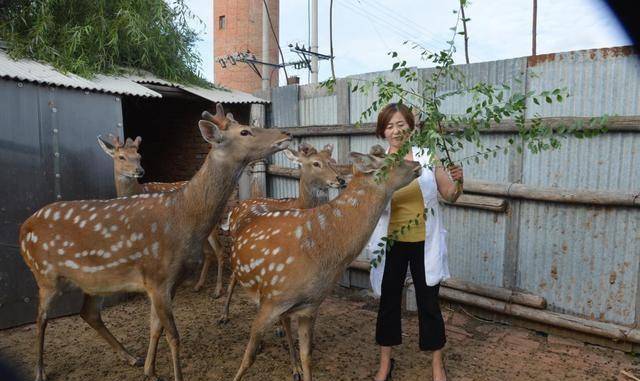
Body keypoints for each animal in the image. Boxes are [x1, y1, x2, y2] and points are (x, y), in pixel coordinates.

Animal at [18, 104, 292, 380]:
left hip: (95, 281)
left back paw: (130, 357)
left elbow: (155, 327)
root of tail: (23, 229)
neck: (183, 218)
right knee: (42, 318)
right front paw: (172, 374)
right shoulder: (157, 276)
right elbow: (173, 336)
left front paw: (150, 370)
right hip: (45, 274)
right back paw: (40, 370)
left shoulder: (166, 282)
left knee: (89, 313)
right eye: (244, 131)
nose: (286, 133)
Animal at [216, 142, 348, 324]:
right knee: (233, 276)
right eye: (316, 163)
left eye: (333, 161)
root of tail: (235, 208)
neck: (299, 205)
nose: (340, 180)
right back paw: (223, 315)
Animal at [228, 145, 422, 380]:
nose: (418, 164)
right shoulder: (272, 298)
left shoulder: (309, 306)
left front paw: (300, 367)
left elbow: (307, 356)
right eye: (394, 159)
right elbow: (248, 358)